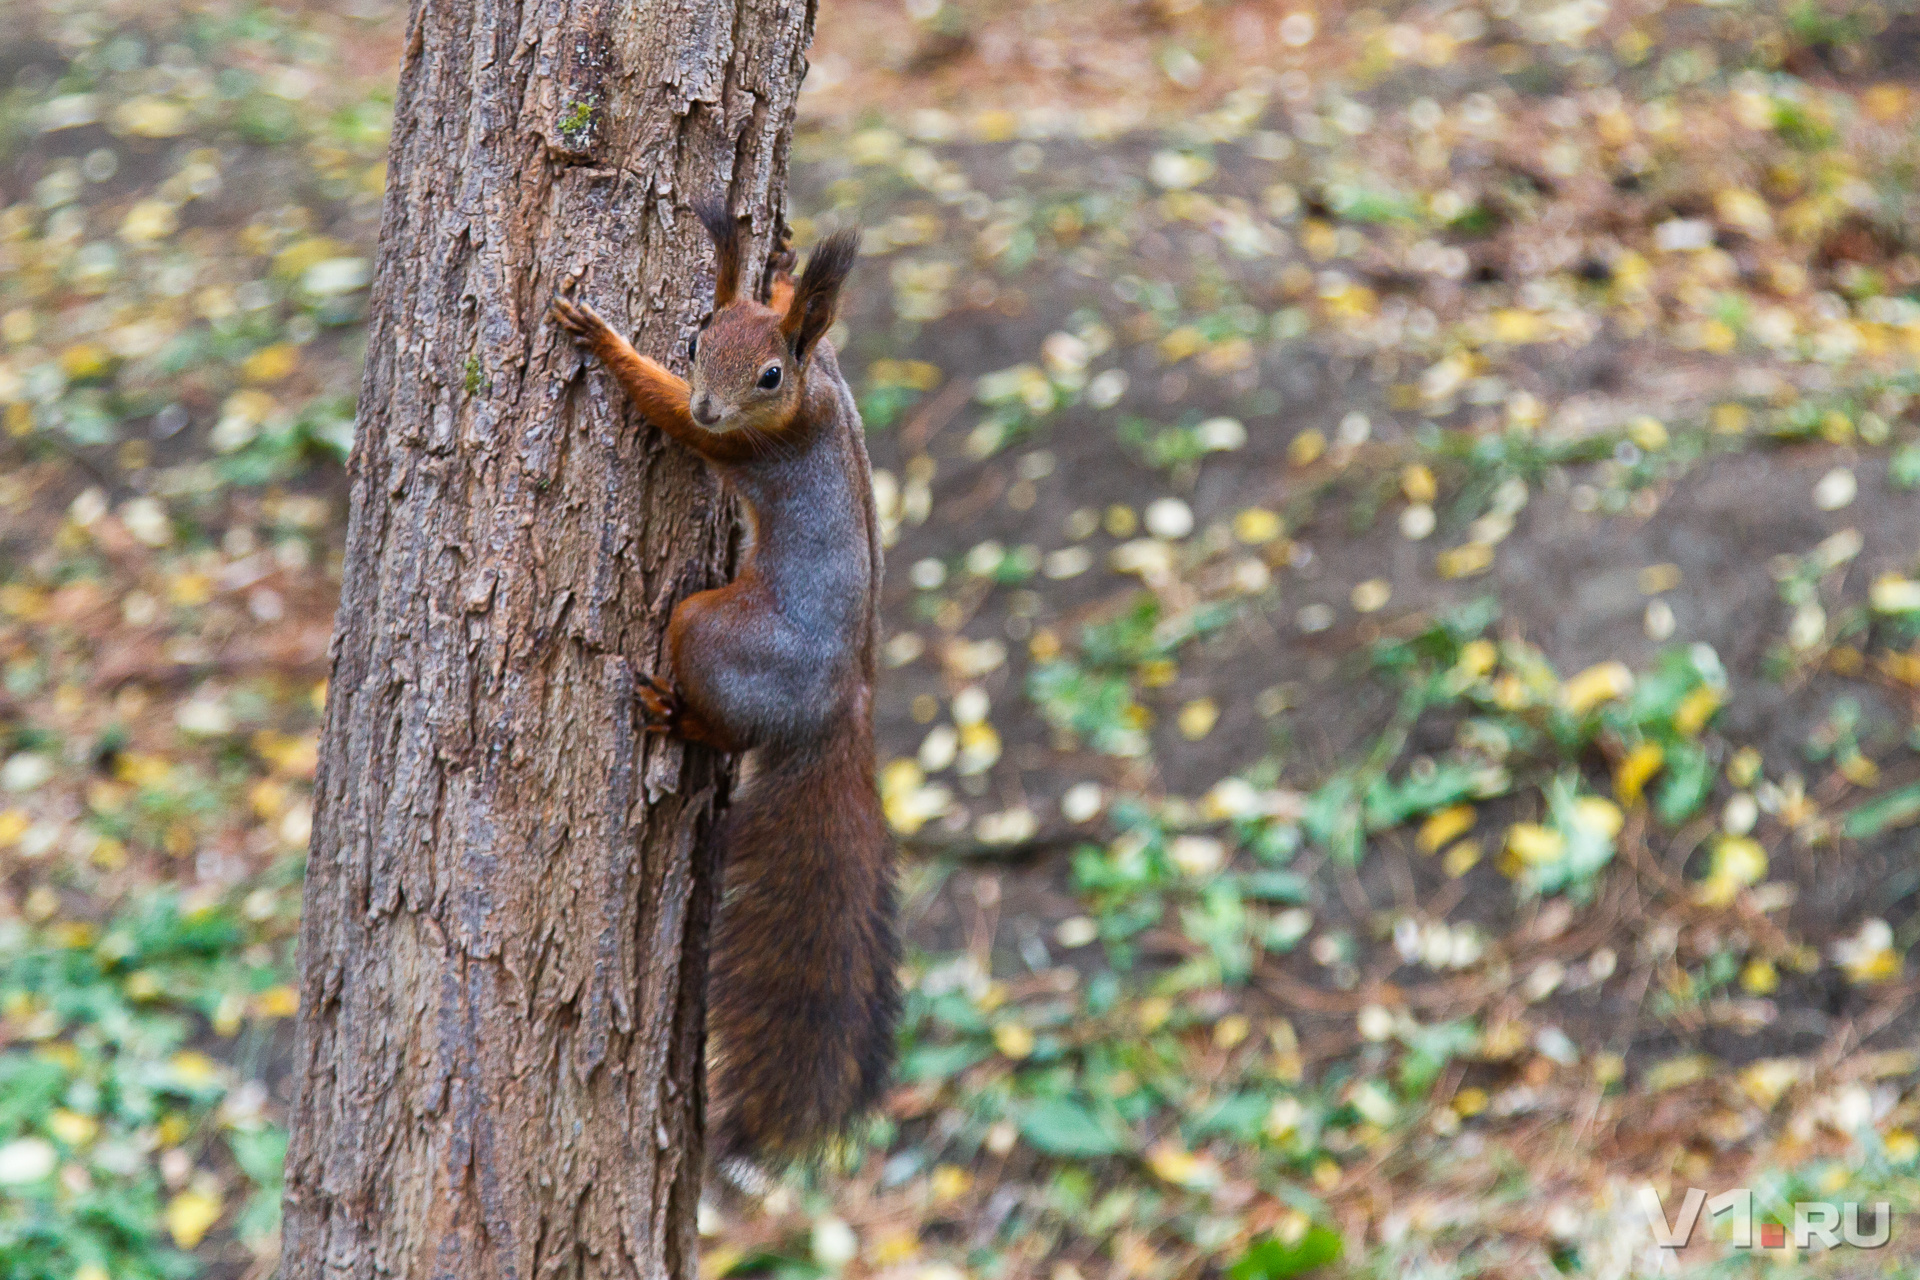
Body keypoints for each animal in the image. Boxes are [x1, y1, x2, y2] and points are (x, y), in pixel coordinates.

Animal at [545, 205, 894, 1189]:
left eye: (769, 374)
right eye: (701, 336)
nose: (711, 402)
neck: (810, 397)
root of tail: (841, 707)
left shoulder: (745, 443)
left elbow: (668, 415)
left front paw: (606, 343)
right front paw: (776, 261)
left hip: (708, 627)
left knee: (723, 729)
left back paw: (674, 714)